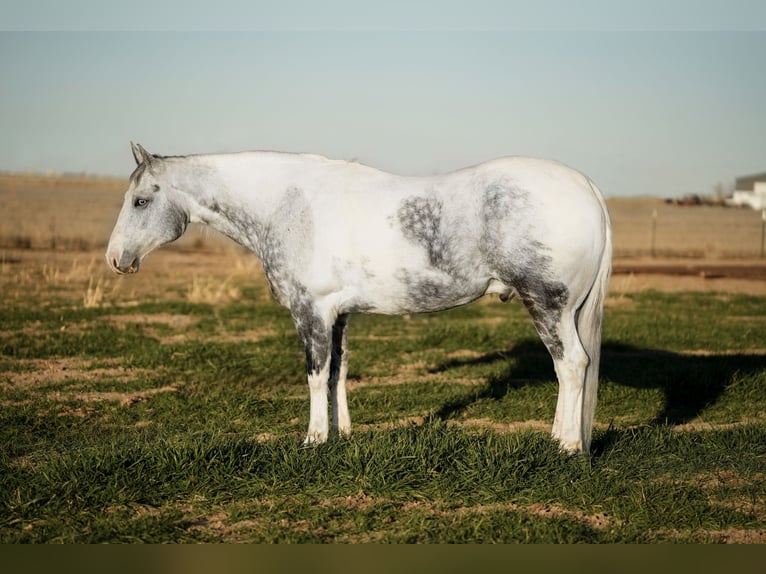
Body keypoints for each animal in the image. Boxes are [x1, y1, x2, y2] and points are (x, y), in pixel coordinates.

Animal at [106, 143, 612, 454]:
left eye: (140, 201)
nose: (115, 258)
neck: (289, 205)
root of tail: (586, 187)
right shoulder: (340, 314)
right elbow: (338, 373)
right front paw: (342, 434)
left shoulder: (310, 311)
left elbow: (315, 375)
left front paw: (313, 440)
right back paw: (558, 438)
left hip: (548, 305)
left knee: (572, 366)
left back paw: (567, 446)